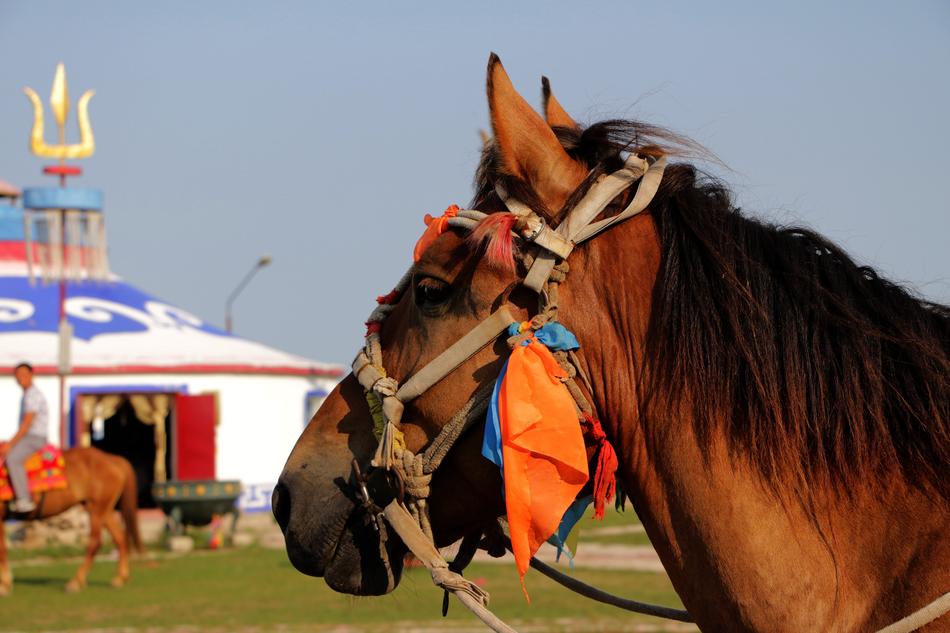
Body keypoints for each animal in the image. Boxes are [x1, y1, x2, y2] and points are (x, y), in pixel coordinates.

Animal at [0, 446, 142, 595]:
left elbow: (2, 549)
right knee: (120, 539)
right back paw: (120, 578)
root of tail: (113, 459)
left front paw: (5, 585)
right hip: (103, 509)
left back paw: (76, 582)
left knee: (95, 542)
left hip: (96, 509)